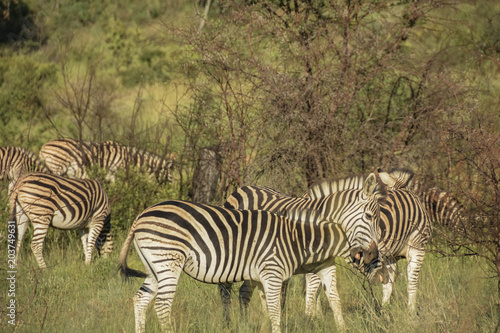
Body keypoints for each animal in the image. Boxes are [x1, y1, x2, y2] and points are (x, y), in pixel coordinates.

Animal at [38, 138, 174, 184]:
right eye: (171, 175)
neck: (131, 161)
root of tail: (43, 147)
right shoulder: (117, 175)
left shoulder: (110, 177)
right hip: (56, 169)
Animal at [119, 195, 384, 332]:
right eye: (370, 217)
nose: (373, 255)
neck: (298, 236)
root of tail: (140, 216)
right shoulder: (272, 273)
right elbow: (276, 311)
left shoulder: (273, 275)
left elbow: (331, 300)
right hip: (168, 262)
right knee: (162, 305)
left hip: (154, 267)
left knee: (140, 300)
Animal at [221, 172, 388, 328]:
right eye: (368, 216)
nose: (384, 276)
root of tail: (241, 189)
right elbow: (313, 289)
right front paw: (311, 319)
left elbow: (322, 291)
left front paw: (318, 318)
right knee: (225, 289)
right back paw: (228, 322)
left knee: (244, 291)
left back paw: (247, 321)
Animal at [302, 167, 432, 312]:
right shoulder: (417, 249)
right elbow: (412, 283)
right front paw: (410, 312)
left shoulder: (389, 257)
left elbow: (388, 285)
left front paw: (385, 310)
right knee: (312, 284)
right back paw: (311, 315)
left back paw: (317, 313)